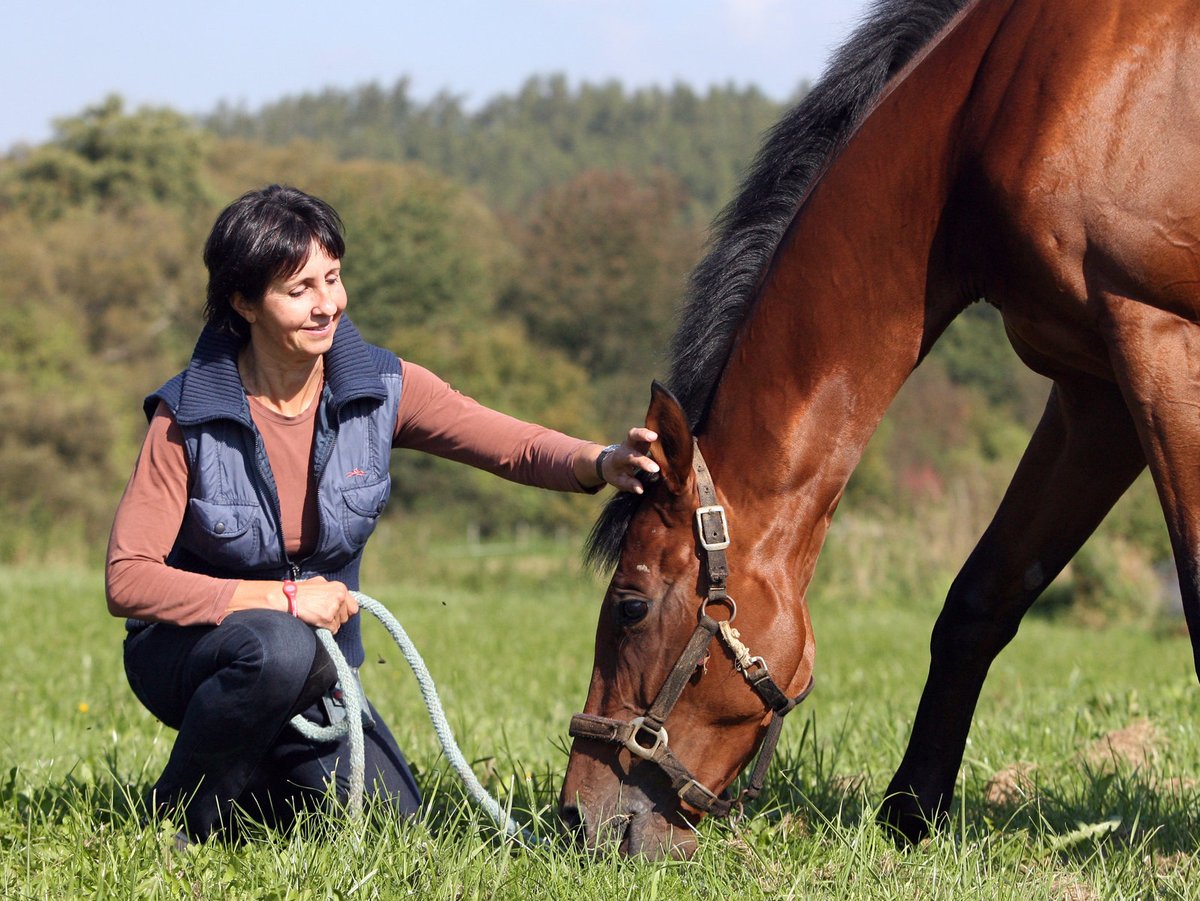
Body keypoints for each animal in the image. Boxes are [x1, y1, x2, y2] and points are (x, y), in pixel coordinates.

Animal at [556, 0, 1200, 859]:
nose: (574, 818)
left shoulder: (1160, 339)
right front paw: (910, 814)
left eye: (629, 605)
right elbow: (979, 600)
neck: (999, 98)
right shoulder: (1095, 392)